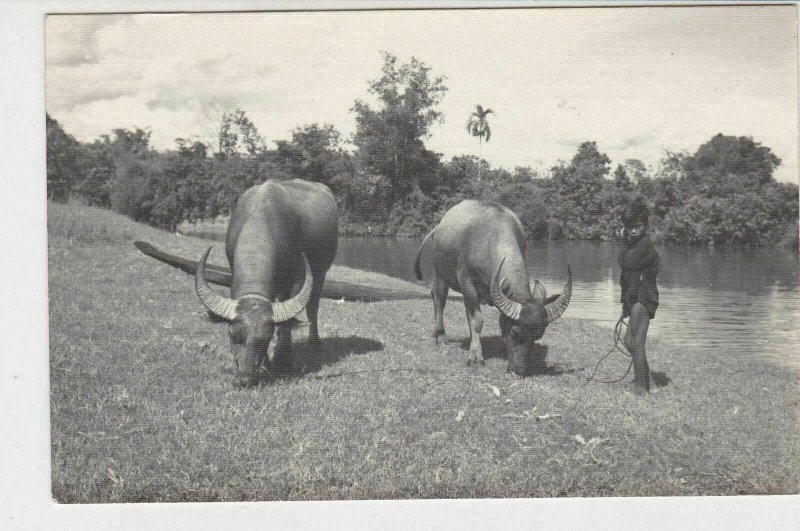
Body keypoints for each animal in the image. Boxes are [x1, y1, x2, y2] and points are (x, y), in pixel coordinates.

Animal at [195, 179, 338, 386]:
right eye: (232, 334)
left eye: (265, 339)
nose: (246, 378)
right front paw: (268, 364)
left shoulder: (296, 279)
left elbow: (286, 324)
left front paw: (283, 360)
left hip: (320, 272)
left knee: (312, 308)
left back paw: (313, 343)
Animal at [416, 202, 572, 376]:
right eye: (515, 332)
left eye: (538, 335)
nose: (519, 370)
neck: (490, 238)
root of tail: (439, 226)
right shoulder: (467, 283)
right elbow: (478, 321)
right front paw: (475, 356)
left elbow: (479, 319)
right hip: (440, 272)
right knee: (439, 298)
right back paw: (441, 336)